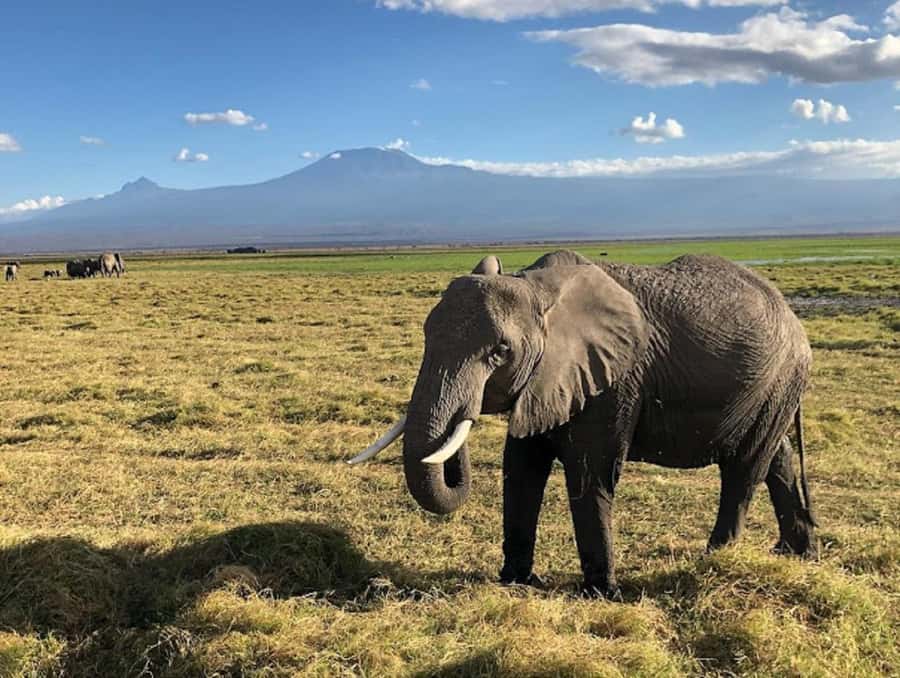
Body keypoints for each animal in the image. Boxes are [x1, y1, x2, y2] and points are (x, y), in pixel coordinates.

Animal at [350, 250, 817, 599]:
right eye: (426, 334)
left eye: (500, 352)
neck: (536, 287)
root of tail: (793, 317)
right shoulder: (548, 380)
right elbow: (521, 469)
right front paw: (517, 582)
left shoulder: (613, 380)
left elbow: (590, 473)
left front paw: (601, 594)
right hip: (772, 389)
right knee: (777, 458)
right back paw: (797, 555)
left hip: (778, 376)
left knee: (744, 469)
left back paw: (711, 564)